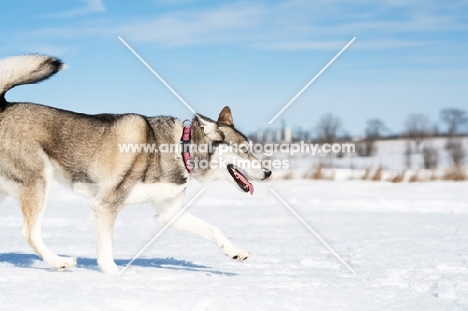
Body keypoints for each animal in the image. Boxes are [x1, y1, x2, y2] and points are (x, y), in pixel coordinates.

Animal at [0, 54, 270, 274]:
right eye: (244, 149)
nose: (268, 172)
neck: (179, 148)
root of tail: (5, 107)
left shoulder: (169, 213)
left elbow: (213, 229)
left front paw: (234, 251)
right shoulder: (105, 205)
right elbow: (106, 248)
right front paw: (114, 272)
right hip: (38, 183)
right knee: (30, 232)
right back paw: (58, 261)